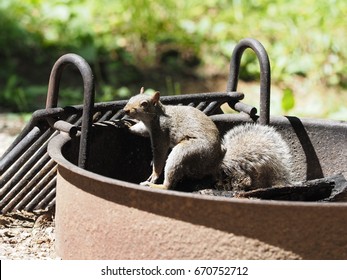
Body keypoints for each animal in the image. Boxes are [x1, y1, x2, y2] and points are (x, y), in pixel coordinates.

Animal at [123, 88, 292, 191]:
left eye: (144, 104)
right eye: (130, 98)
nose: (125, 110)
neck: (155, 115)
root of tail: (214, 163)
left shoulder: (161, 132)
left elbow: (159, 155)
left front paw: (154, 175)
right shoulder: (148, 128)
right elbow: (141, 130)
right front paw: (127, 125)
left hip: (188, 151)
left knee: (170, 179)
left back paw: (157, 186)